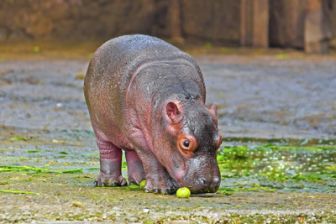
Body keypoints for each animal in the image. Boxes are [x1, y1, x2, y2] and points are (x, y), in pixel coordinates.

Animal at [83, 34, 222, 193]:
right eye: (186, 143)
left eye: (220, 140)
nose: (210, 182)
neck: (185, 99)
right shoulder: (137, 132)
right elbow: (152, 158)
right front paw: (161, 189)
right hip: (100, 126)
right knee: (108, 151)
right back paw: (110, 182)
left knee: (133, 153)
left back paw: (139, 181)